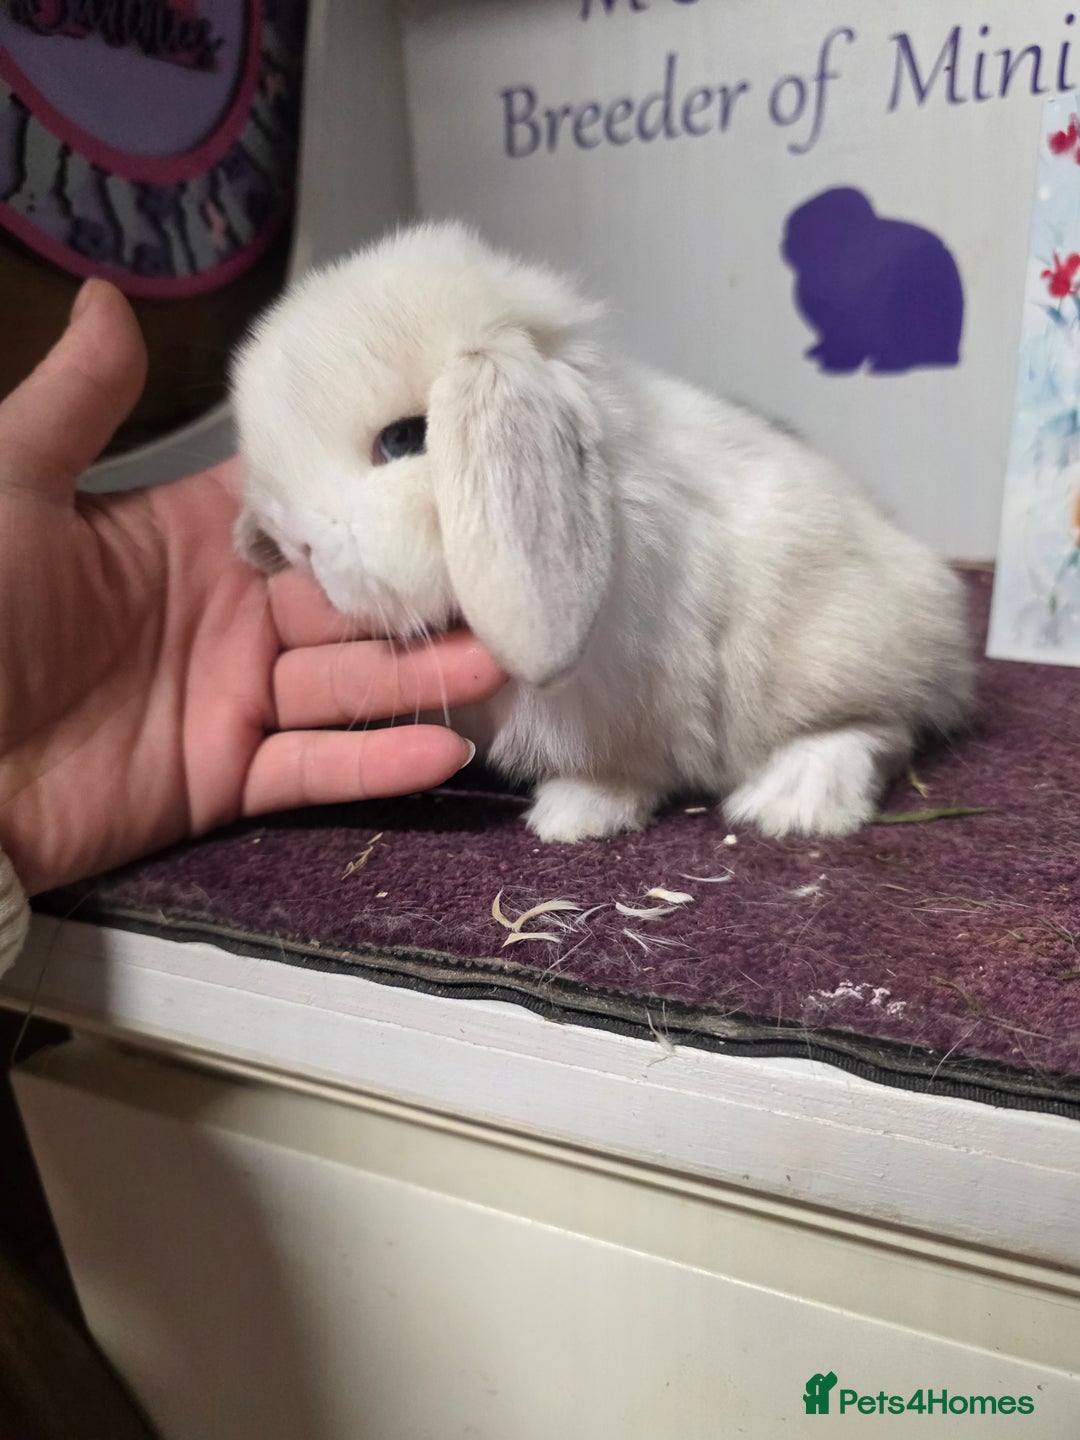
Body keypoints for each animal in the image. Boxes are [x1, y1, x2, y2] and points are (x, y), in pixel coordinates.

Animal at [230, 222, 973, 843]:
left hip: (828, 654)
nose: (297, 548)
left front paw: (572, 820)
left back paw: (790, 802)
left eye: (406, 438)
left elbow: (616, 772)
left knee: (881, 727)